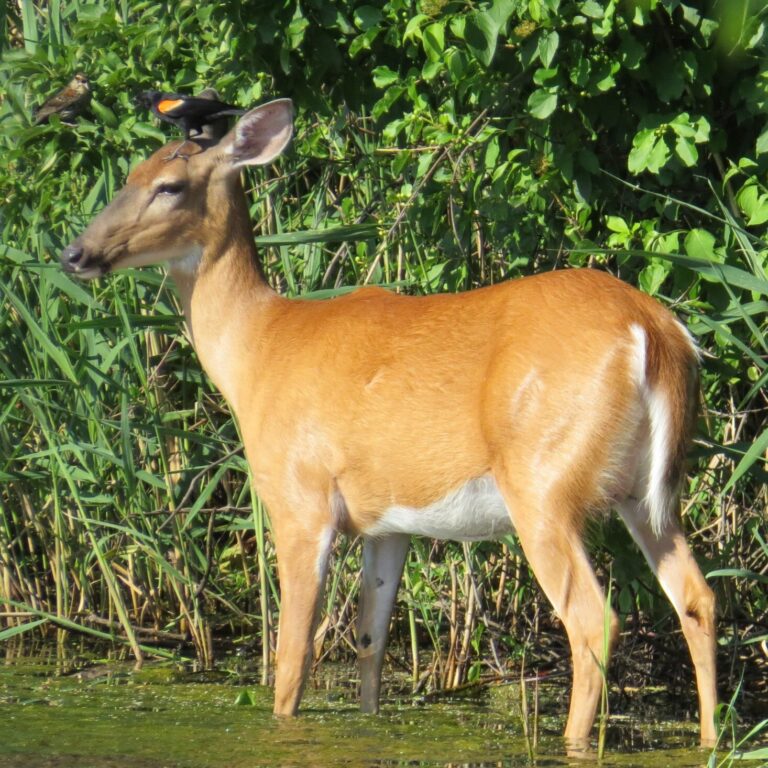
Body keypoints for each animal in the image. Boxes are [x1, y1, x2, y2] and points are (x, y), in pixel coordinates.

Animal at [60, 98, 717, 753]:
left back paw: (574, 743)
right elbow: (369, 642)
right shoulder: (387, 522)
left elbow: (293, 657)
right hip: (647, 492)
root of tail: (655, 331)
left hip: (542, 481)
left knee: (592, 618)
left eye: (170, 185)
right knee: (697, 597)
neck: (258, 349)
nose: (74, 253)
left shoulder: (301, 500)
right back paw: (711, 739)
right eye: (129, 175)